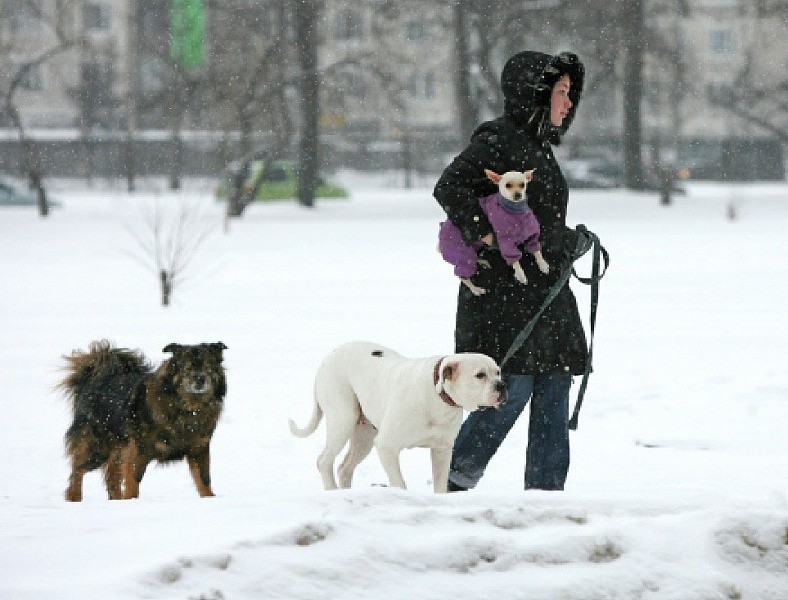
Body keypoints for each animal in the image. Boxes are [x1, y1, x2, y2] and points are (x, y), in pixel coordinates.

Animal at [59, 340, 228, 500]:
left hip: (118, 448)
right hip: (98, 448)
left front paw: (210, 499)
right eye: (187, 368)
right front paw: (131, 501)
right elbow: (133, 481)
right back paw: (74, 496)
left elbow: (204, 480)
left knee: (111, 476)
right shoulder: (138, 450)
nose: (201, 379)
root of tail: (96, 378)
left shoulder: (199, 449)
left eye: (208, 367)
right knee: (77, 470)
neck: (187, 408)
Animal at [290, 340, 504, 494]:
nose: (502, 385)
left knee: (344, 468)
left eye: (498, 372)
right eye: (480, 375)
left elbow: (440, 484)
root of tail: (329, 356)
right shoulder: (387, 446)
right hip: (343, 419)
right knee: (324, 460)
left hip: (364, 437)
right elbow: (399, 483)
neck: (436, 397)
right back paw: (332, 491)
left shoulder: (442, 450)